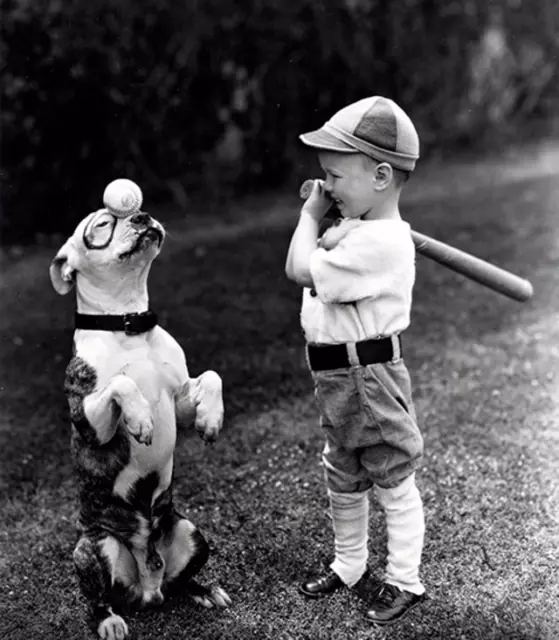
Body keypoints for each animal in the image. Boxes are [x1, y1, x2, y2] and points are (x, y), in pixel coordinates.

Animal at [49, 186, 230, 640]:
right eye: (100, 225)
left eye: (137, 209)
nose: (142, 216)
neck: (128, 323)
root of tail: (149, 589)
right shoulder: (90, 422)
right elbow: (122, 385)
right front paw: (141, 419)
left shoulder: (179, 399)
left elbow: (212, 377)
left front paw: (211, 419)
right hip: (93, 548)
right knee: (100, 597)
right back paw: (109, 621)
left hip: (191, 532)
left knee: (180, 581)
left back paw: (203, 591)